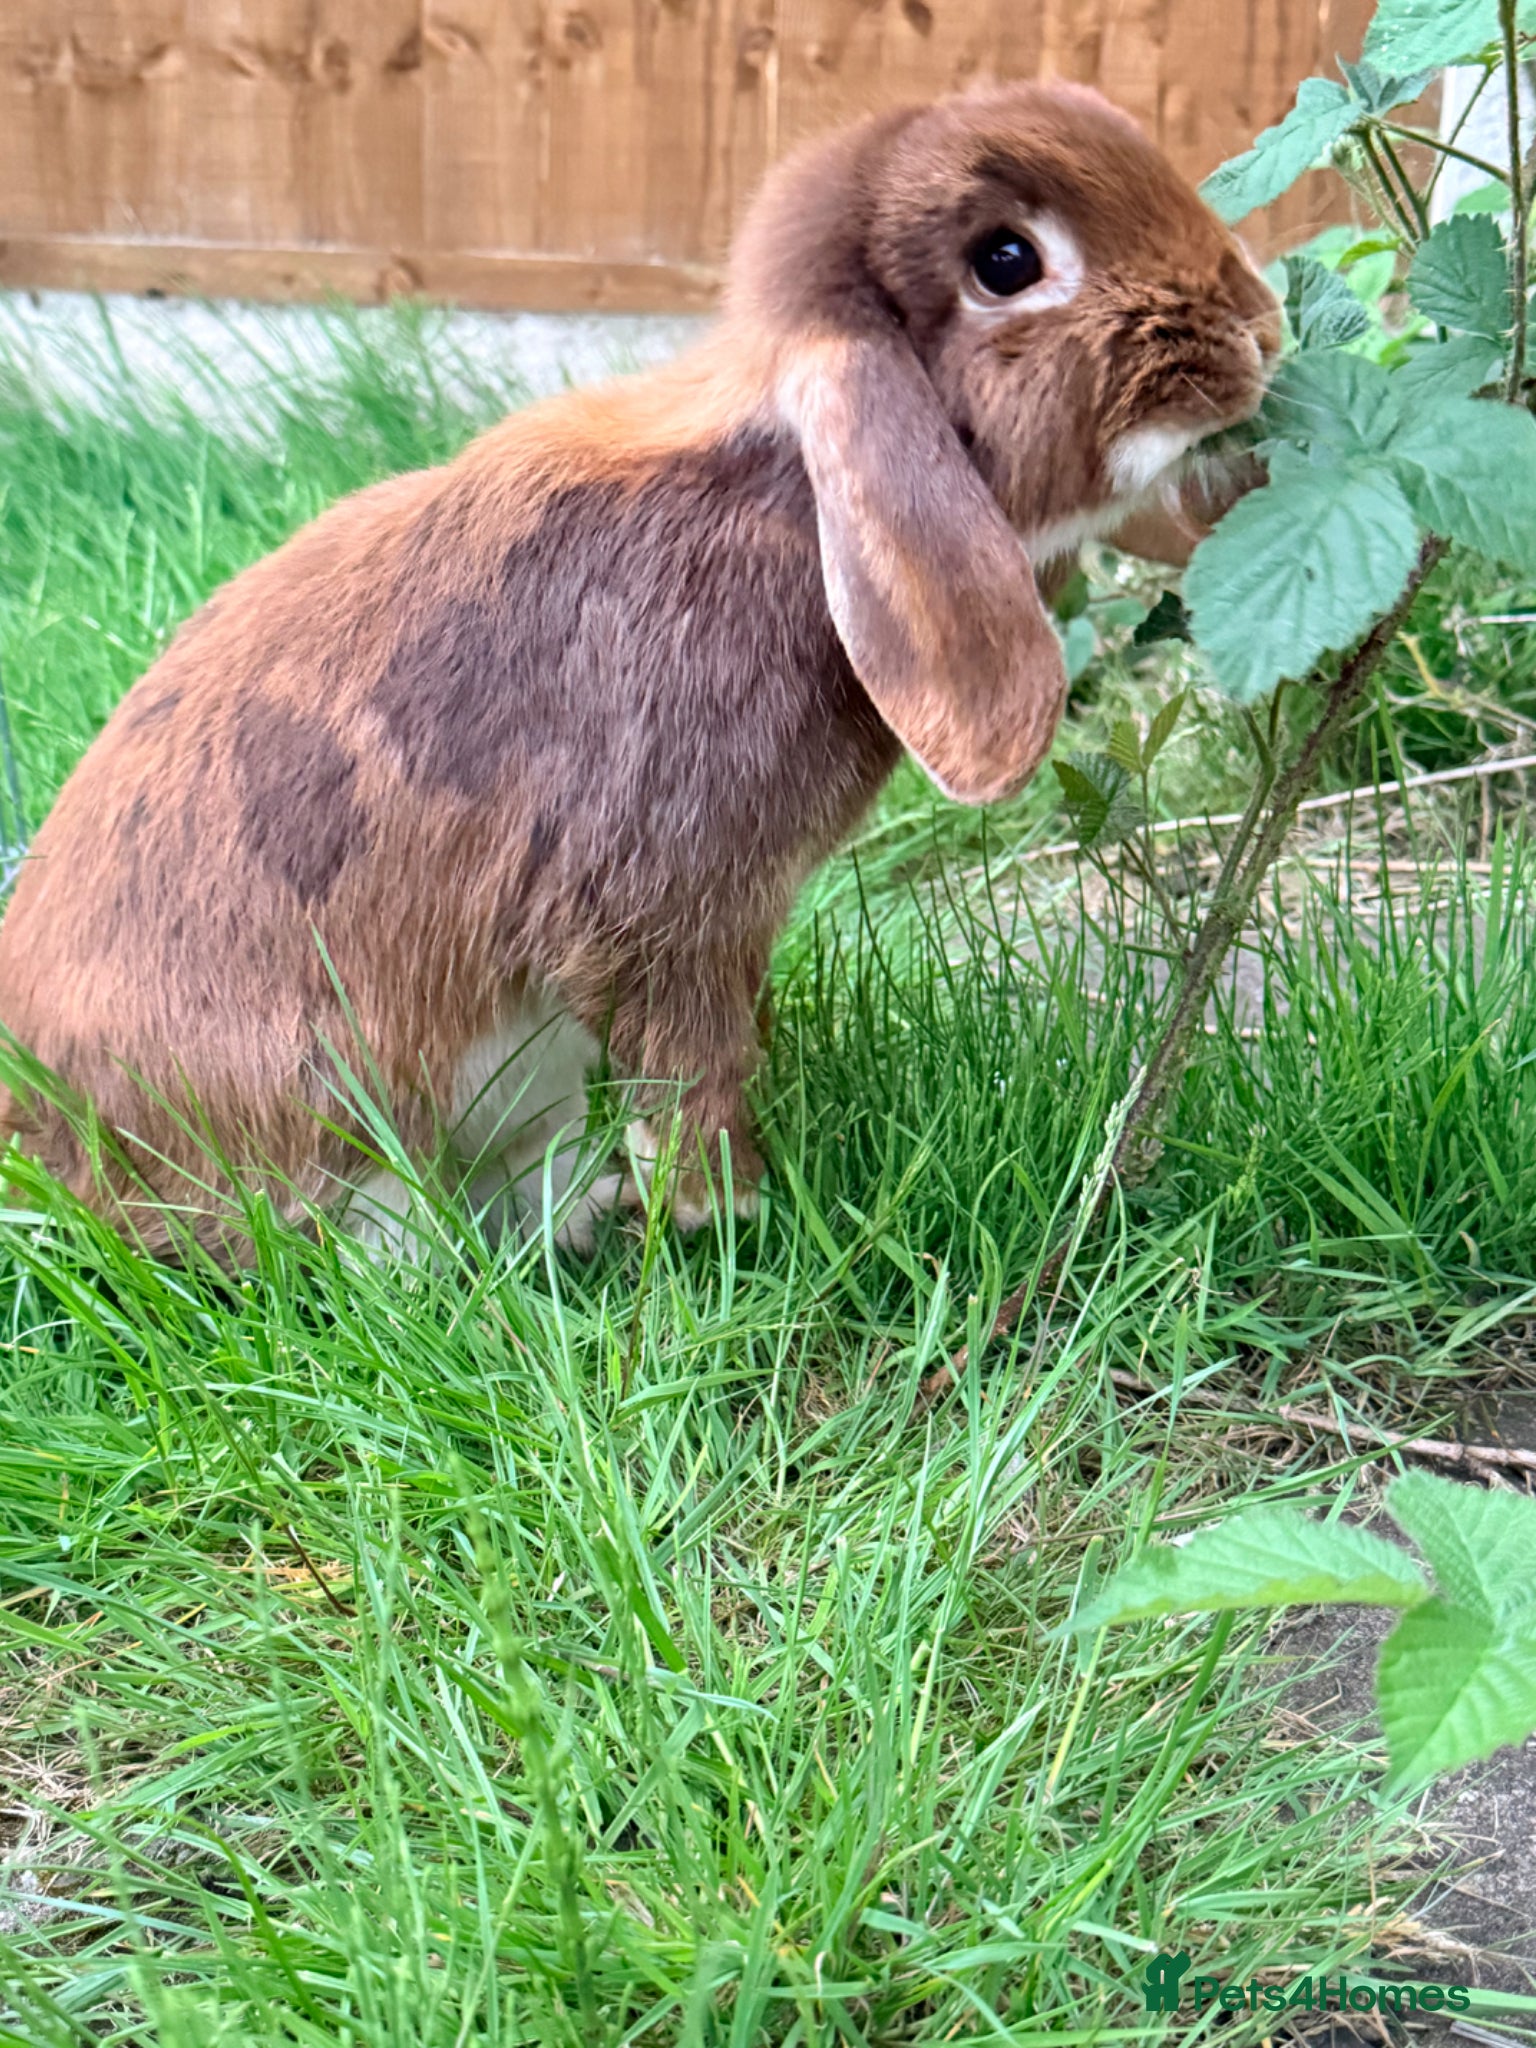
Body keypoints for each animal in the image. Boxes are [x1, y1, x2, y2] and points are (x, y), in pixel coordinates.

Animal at [0, 80, 1280, 1261]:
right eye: (1007, 261)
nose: (1261, 327)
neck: (792, 499)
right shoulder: (655, 909)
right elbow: (694, 1064)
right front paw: (733, 1210)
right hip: (339, 1115)